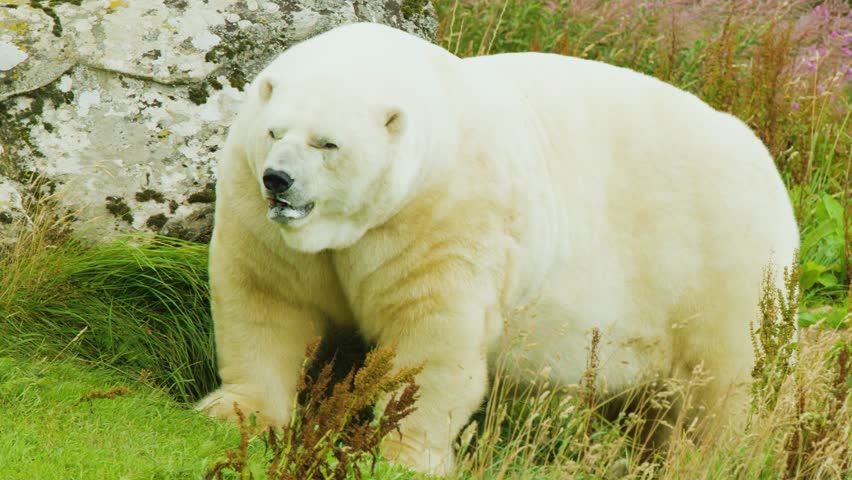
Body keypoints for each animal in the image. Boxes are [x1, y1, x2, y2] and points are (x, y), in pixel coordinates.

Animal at [196, 22, 800, 475]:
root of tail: (770, 169)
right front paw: (236, 411)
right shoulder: (259, 212)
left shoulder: (439, 214)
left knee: (725, 388)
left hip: (722, 266)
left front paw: (403, 453)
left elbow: (432, 334)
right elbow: (267, 299)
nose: (279, 181)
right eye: (275, 133)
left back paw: (720, 457)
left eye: (328, 144)